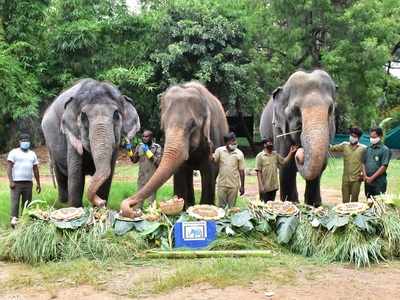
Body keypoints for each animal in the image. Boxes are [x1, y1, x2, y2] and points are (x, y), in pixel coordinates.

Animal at [41, 78, 141, 207]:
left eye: (116, 115)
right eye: (83, 117)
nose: (102, 202)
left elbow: (109, 174)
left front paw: (100, 207)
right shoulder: (72, 136)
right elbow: (76, 174)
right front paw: (76, 207)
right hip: (50, 144)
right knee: (61, 175)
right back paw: (62, 203)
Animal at [119, 81, 228, 217]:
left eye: (193, 125)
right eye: (164, 124)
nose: (130, 209)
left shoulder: (213, 135)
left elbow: (210, 171)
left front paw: (205, 208)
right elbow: (179, 171)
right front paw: (180, 211)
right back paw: (189, 205)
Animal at [260, 69, 338, 206]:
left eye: (330, 109)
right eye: (295, 110)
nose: (299, 151)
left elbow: (321, 165)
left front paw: (313, 205)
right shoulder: (279, 129)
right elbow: (286, 165)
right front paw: (292, 204)